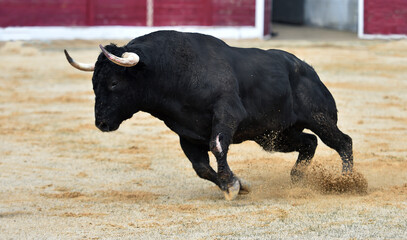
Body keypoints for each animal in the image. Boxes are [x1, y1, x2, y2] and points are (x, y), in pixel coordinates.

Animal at [63, 30, 354, 201]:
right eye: (94, 83)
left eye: (114, 83)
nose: (102, 123)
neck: (173, 71)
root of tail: (308, 70)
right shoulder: (186, 133)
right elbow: (201, 167)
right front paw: (237, 184)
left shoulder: (227, 113)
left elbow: (217, 146)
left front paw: (232, 185)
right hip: (274, 135)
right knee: (309, 143)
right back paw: (296, 180)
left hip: (319, 118)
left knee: (342, 142)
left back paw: (348, 182)